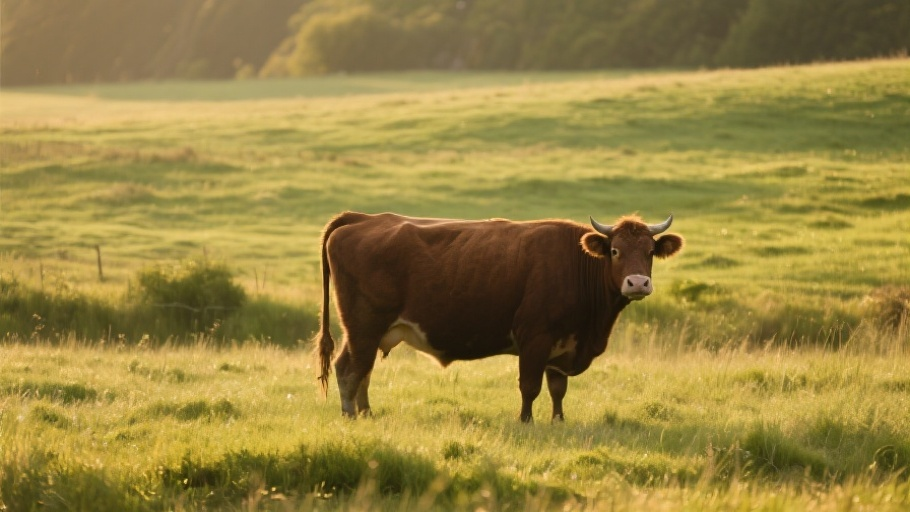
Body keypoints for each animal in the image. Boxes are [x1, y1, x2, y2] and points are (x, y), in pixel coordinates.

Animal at [316, 211, 683, 422]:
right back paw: (350, 415)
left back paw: (367, 413)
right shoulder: (535, 337)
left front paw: (558, 421)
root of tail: (363, 217)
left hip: (373, 331)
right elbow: (530, 386)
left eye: (650, 251)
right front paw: (526, 422)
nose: (638, 283)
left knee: (363, 370)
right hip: (363, 325)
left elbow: (558, 389)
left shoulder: (562, 344)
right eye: (615, 250)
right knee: (349, 368)